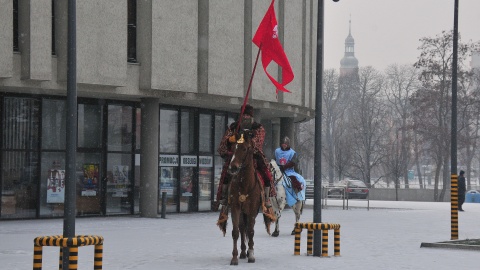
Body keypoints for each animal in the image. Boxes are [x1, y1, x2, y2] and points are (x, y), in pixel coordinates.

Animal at [223, 132, 272, 264]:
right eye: (233, 148)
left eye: (244, 148)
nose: (233, 168)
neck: (244, 184)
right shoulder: (235, 207)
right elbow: (236, 231)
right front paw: (234, 258)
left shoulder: (252, 209)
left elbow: (250, 231)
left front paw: (251, 256)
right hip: (242, 212)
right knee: (242, 228)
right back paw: (243, 252)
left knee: (250, 229)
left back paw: (249, 251)